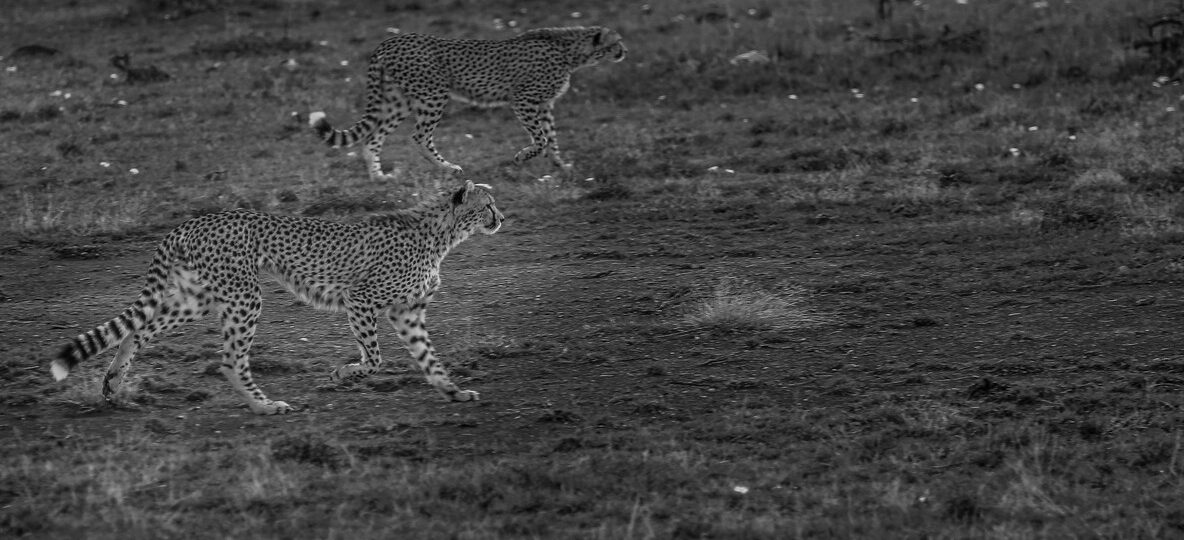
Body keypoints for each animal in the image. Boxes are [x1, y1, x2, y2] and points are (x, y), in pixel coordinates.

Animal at [51, 181, 503, 415]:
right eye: (488, 204)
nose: (501, 218)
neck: (441, 234)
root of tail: (194, 220)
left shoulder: (408, 311)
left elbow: (429, 359)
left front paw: (453, 392)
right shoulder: (360, 298)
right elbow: (374, 358)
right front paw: (344, 374)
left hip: (197, 298)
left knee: (138, 330)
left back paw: (113, 382)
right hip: (244, 296)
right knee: (230, 359)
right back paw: (264, 406)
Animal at [309, 26, 627, 181]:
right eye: (616, 42)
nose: (625, 51)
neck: (570, 51)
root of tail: (391, 40)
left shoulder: (545, 105)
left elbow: (552, 139)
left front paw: (562, 166)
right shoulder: (523, 99)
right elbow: (542, 139)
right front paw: (522, 156)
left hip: (398, 101)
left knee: (373, 138)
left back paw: (379, 177)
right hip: (434, 94)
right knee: (419, 136)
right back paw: (449, 169)